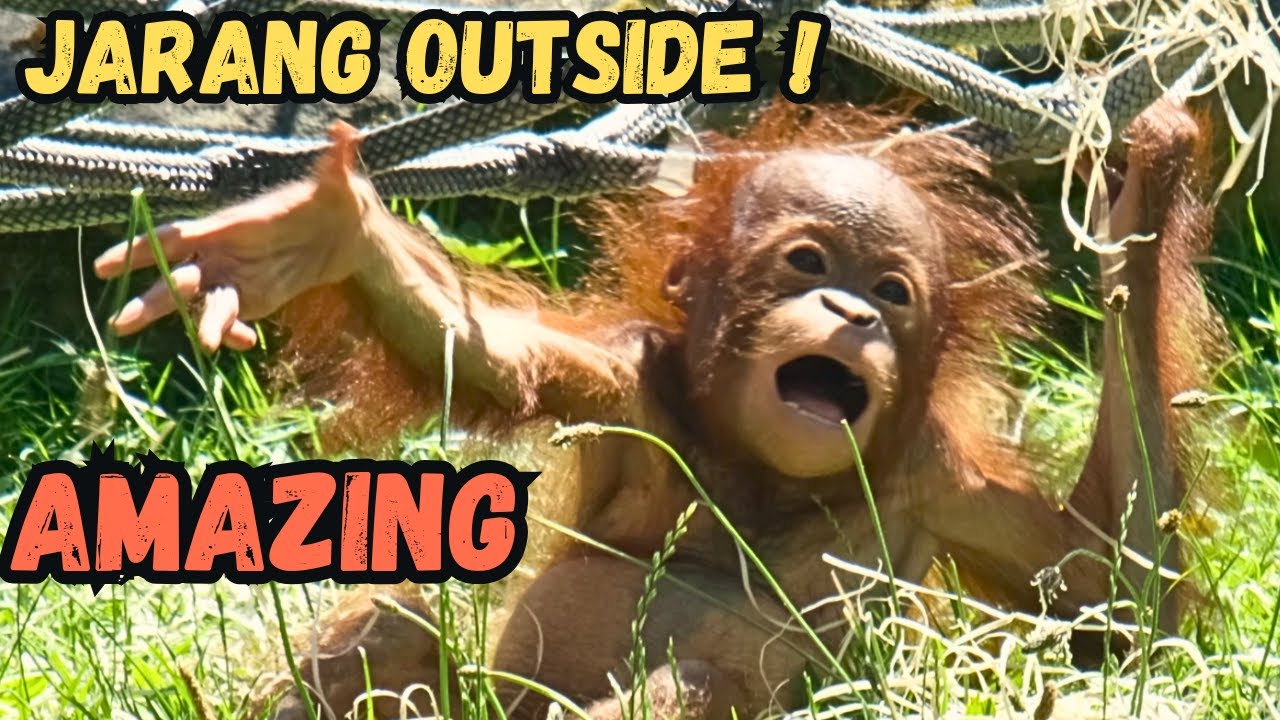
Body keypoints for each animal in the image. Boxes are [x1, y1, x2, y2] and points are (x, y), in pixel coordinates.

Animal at [93, 98, 1220, 720]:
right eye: (806, 263)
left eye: (893, 292)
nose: (853, 310)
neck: (762, 477)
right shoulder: (632, 380)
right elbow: (486, 358)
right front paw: (328, 230)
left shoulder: (937, 478)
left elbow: (1118, 600)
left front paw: (1138, 211)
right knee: (396, 616)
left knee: (713, 682)